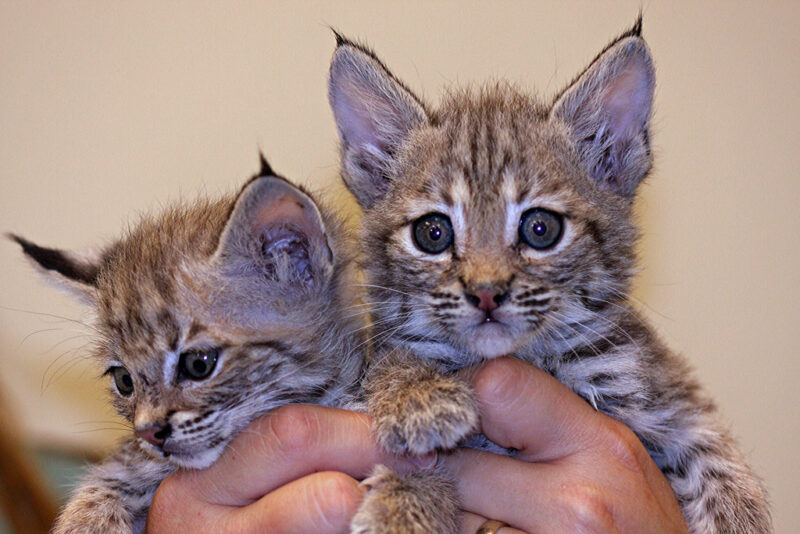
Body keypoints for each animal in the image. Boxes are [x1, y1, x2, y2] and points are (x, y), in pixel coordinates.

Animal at [328, 21, 772, 534]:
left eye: (540, 229)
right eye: (432, 233)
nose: (486, 293)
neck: (534, 358)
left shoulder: (667, 390)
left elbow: (713, 450)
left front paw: (741, 518)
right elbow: (394, 365)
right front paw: (417, 419)